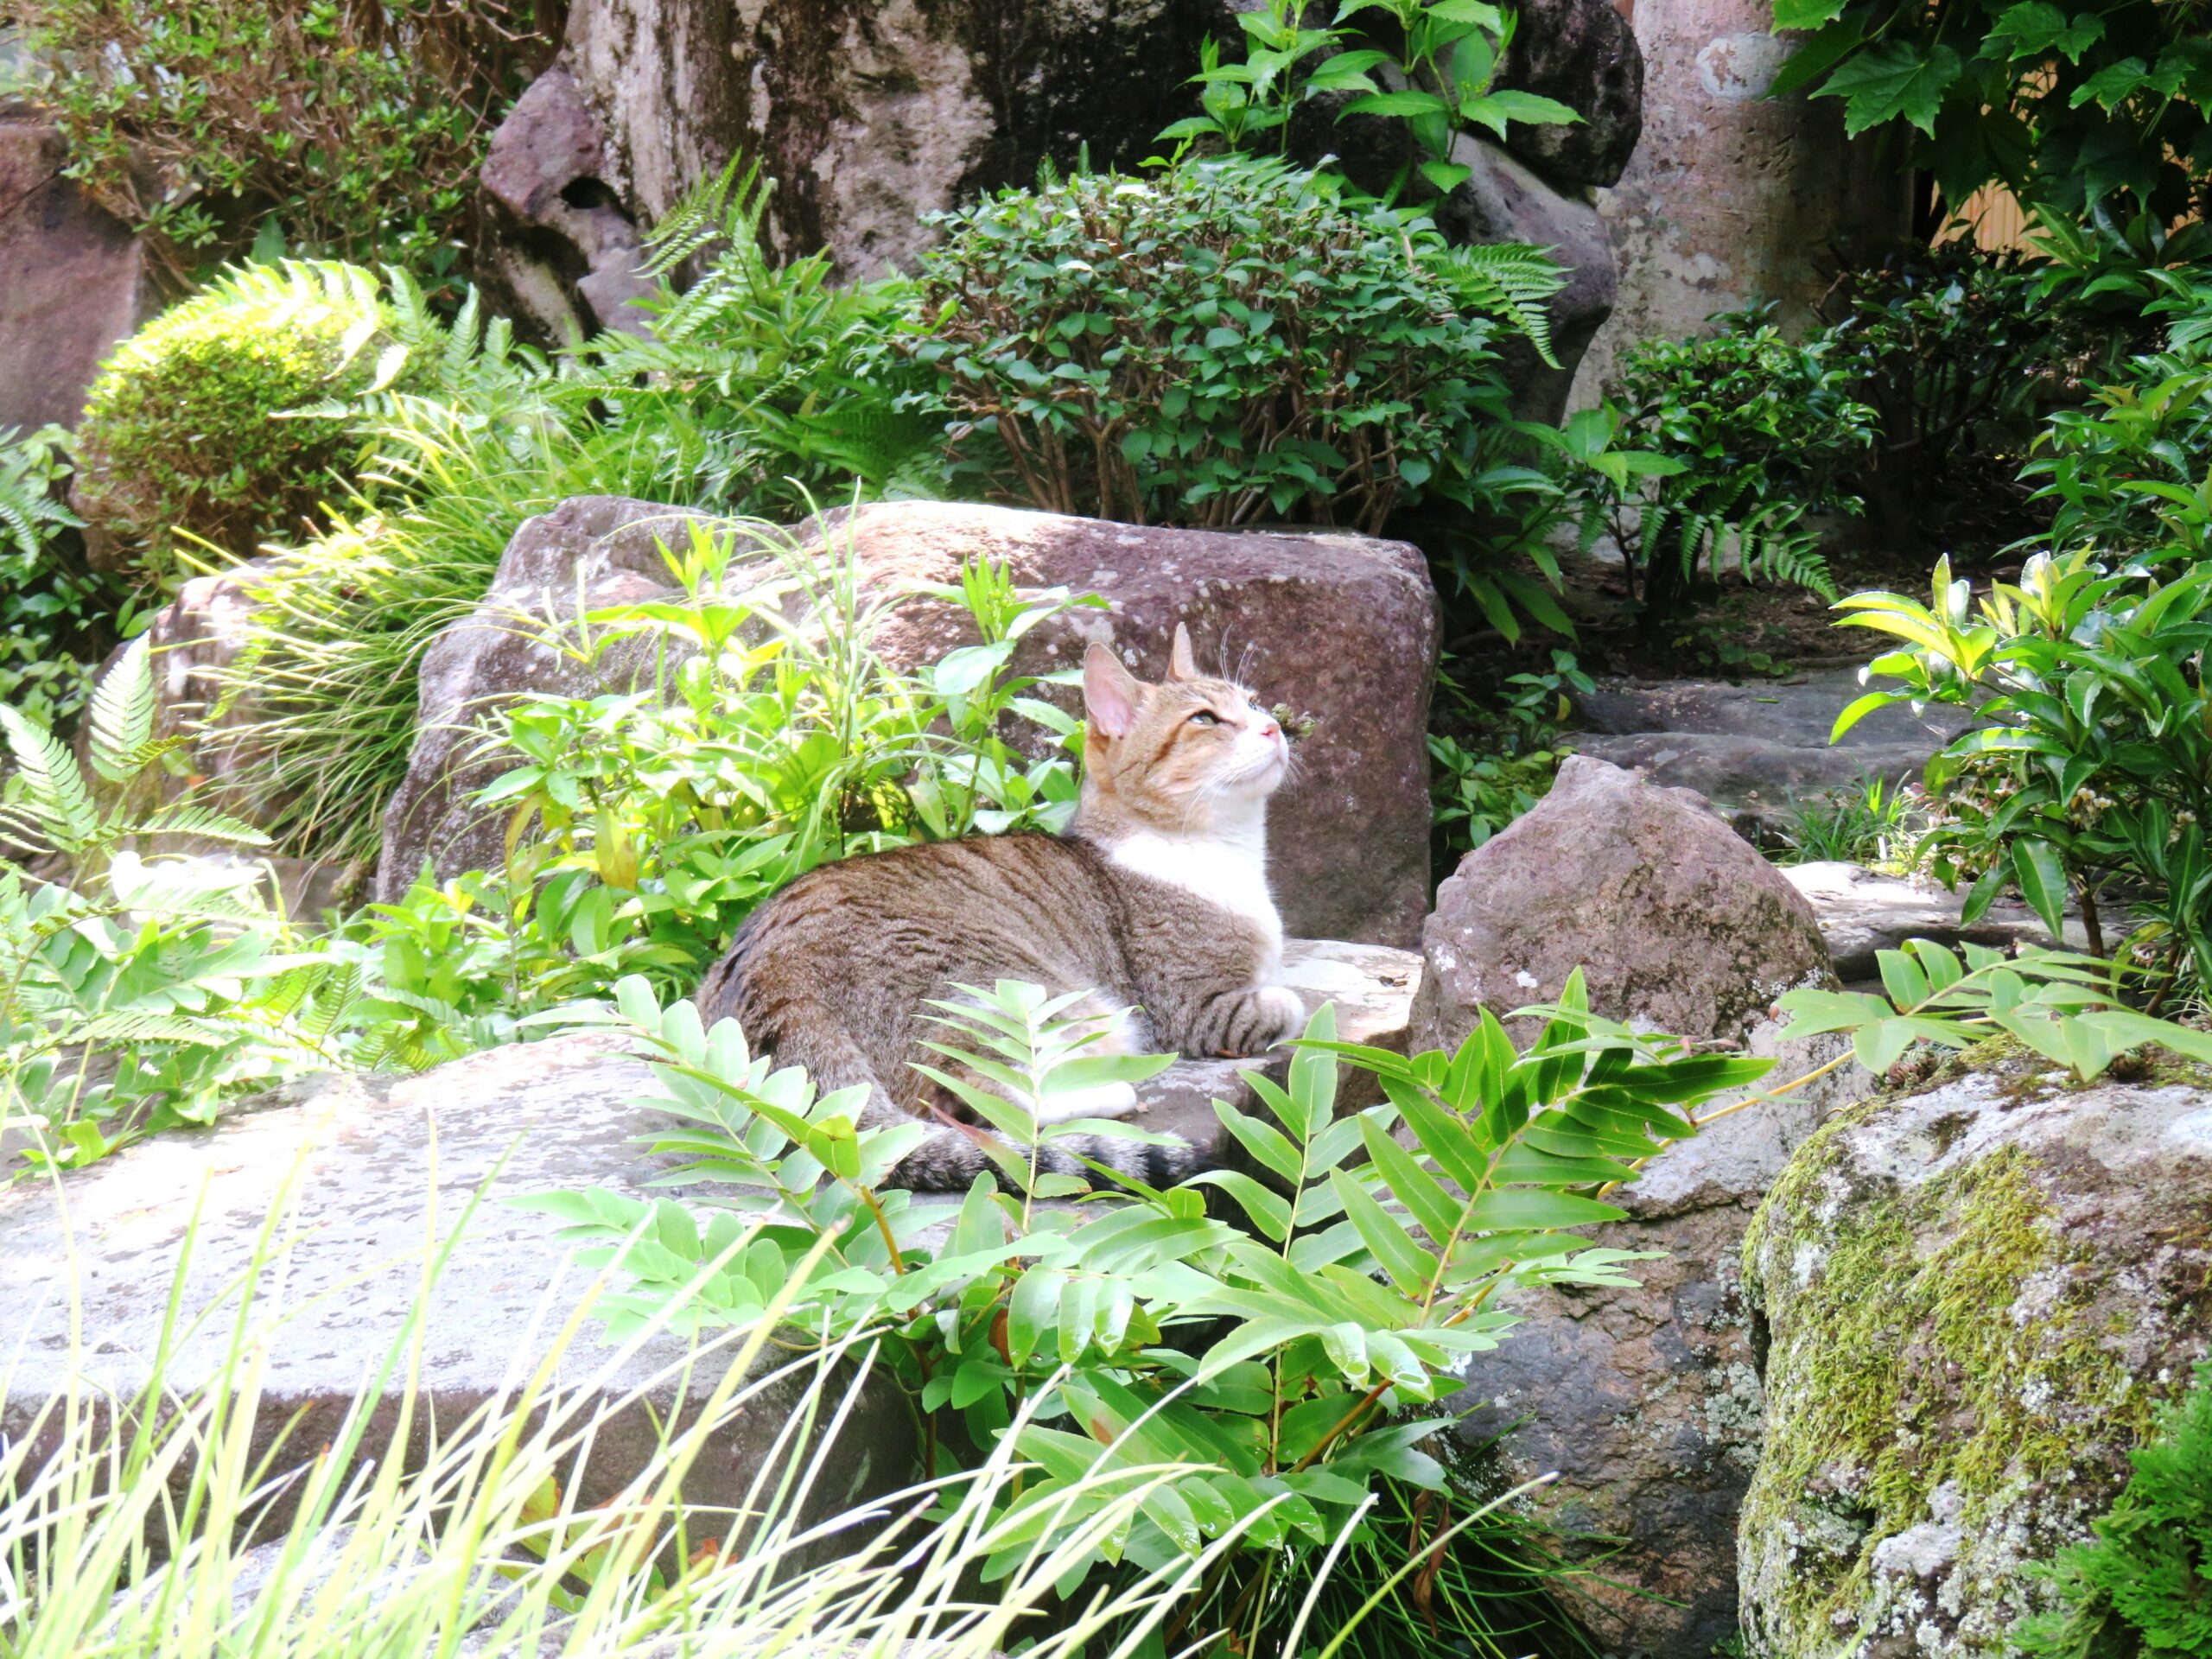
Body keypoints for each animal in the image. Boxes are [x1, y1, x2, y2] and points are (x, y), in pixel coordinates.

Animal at [698, 628, 1300, 1194]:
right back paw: (1113, 1093)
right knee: (973, 1100)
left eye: (1251, 702)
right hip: (1021, 993)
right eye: (1206, 719)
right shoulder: (1194, 1008)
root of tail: (769, 976)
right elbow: (1288, 1005)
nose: (1273, 728)